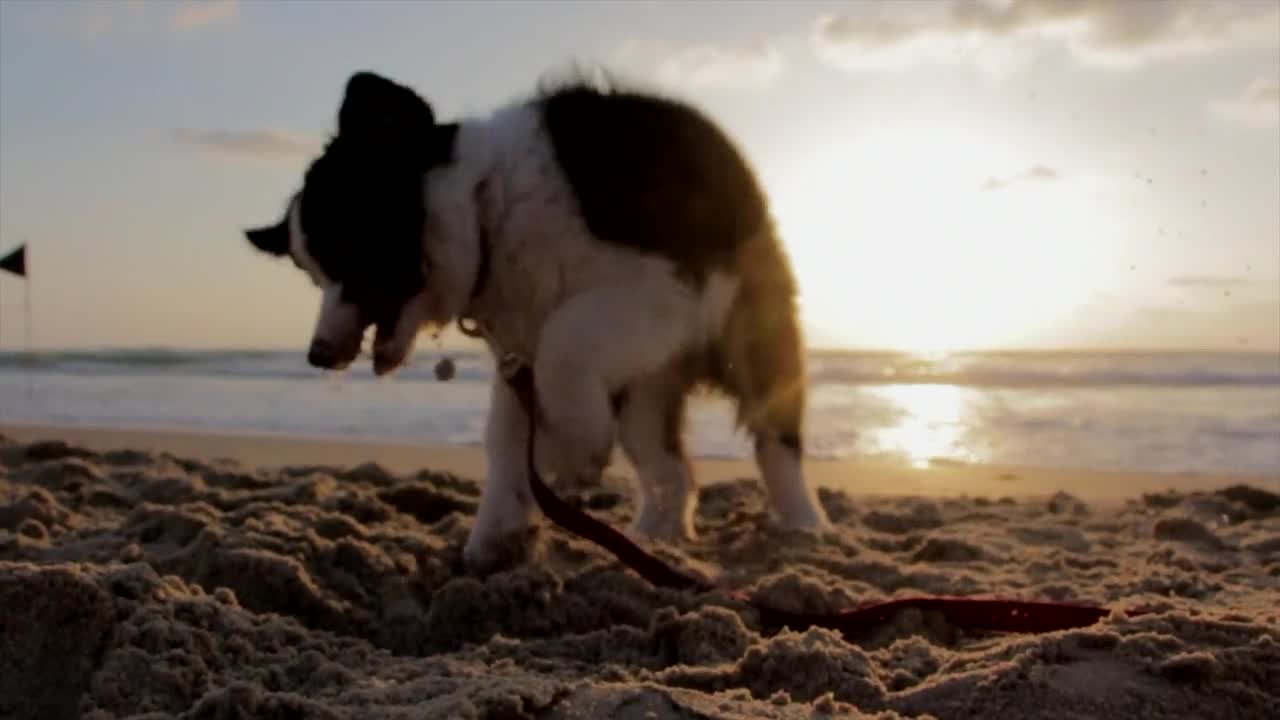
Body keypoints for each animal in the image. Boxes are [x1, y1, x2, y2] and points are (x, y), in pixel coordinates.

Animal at [244, 70, 834, 568]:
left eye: (346, 254)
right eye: (313, 275)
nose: (318, 356)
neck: (488, 209)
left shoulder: (663, 290)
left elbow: (564, 343)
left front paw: (574, 453)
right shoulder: (519, 352)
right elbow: (507, 440)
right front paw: (492, 539)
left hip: (750, 336)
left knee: (774, 443)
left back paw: (805, 527)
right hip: (647, 389)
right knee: (670, 467)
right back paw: (654, 536)